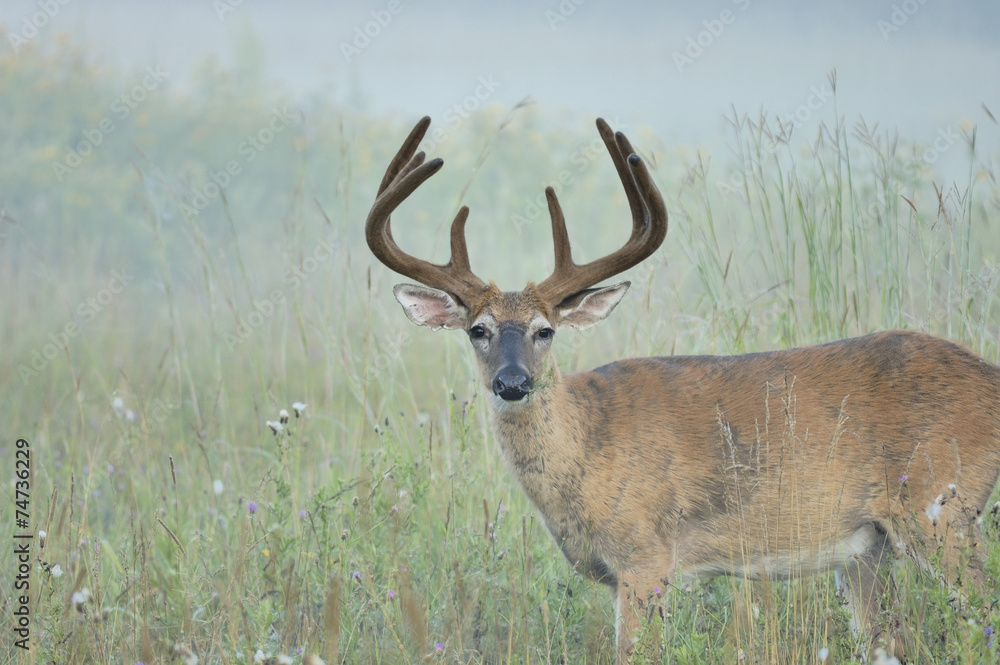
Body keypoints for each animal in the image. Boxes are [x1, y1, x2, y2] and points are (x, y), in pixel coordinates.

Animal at [365, 115, 1000, 662]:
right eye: (478, 329)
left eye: (547, 330)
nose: (513, 382)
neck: (587, 445)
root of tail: (991, 377)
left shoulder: (645, 556)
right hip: (869, 551)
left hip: (941, 510)